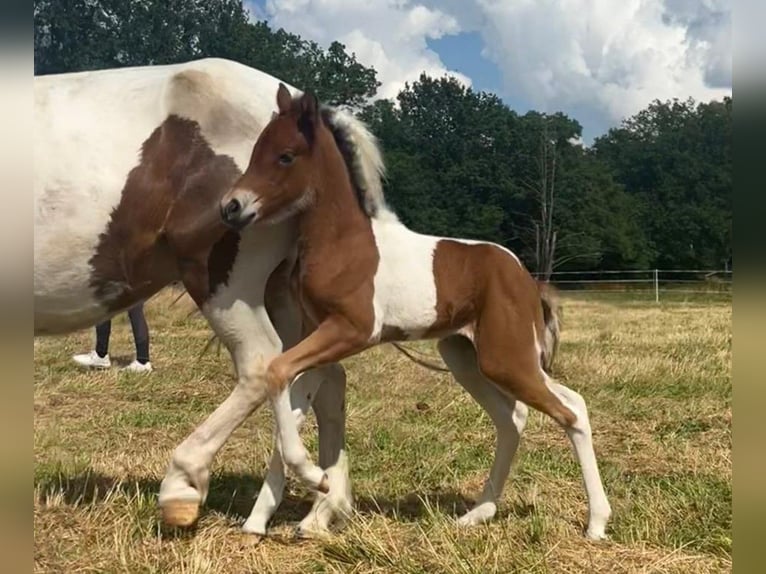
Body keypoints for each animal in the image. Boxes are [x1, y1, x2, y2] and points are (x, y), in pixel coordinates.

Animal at [34, 58, 361, 536]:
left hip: (225, 283)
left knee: (263, 363)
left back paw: (184, 483)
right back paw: (321, 507)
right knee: (320, 374)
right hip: (281, 293)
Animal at [219, 85, 612, 539]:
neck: (345, 243)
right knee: (515, 417)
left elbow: (278, 373)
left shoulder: (352, 330)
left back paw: (596, 523)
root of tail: (526, 278)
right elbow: (291, 399)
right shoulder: (320, 338)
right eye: (255, 151)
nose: (230, 206)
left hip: (506, 358)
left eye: (285, 155)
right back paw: (477, 513)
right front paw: (268, 516)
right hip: (468, 357)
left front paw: (315, 481)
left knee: (570, 410)